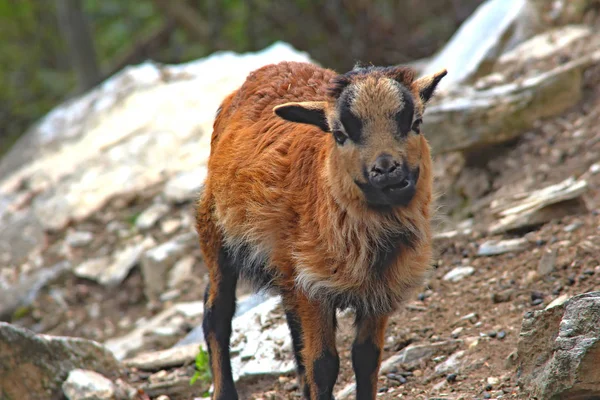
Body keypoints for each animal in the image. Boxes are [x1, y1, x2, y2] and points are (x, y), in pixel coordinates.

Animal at [195, 60, 448, 400]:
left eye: (416, 123)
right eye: (339, 134)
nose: (386, 170)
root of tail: (269, 67)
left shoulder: (380, 287)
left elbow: (366, 357)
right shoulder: (312, 287)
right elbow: (323, 364)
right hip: (214, 235)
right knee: (216, 316)